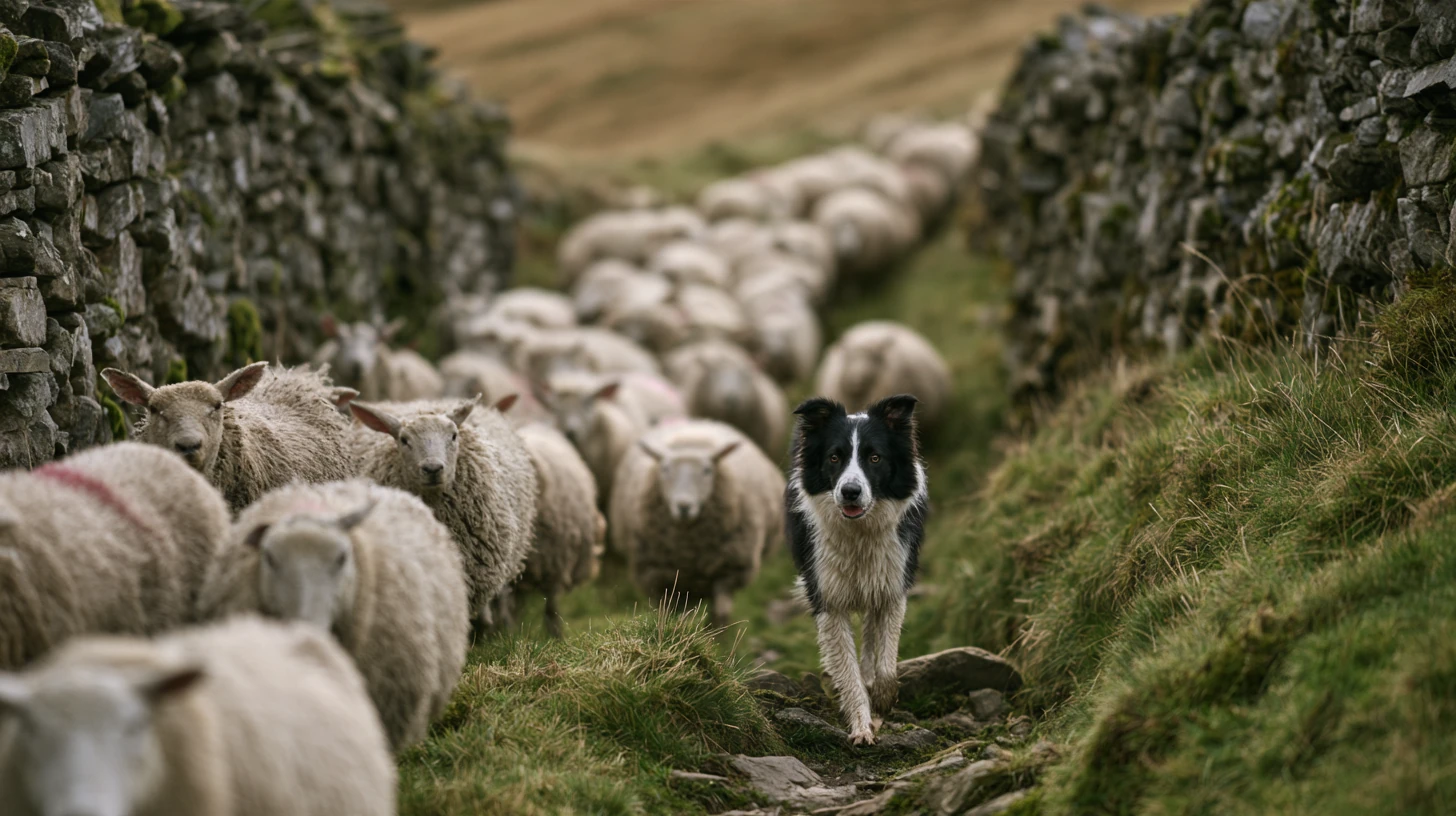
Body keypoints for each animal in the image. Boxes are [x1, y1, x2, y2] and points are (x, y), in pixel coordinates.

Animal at [609, 420, 785, 628]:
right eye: (665, 469)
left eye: (707, 470)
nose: (684, 506)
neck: (689, 548)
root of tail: (695, 423)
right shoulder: (657, 575)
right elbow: (665, 613)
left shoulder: (728, 571)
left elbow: (720, 614)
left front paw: (718, 636)